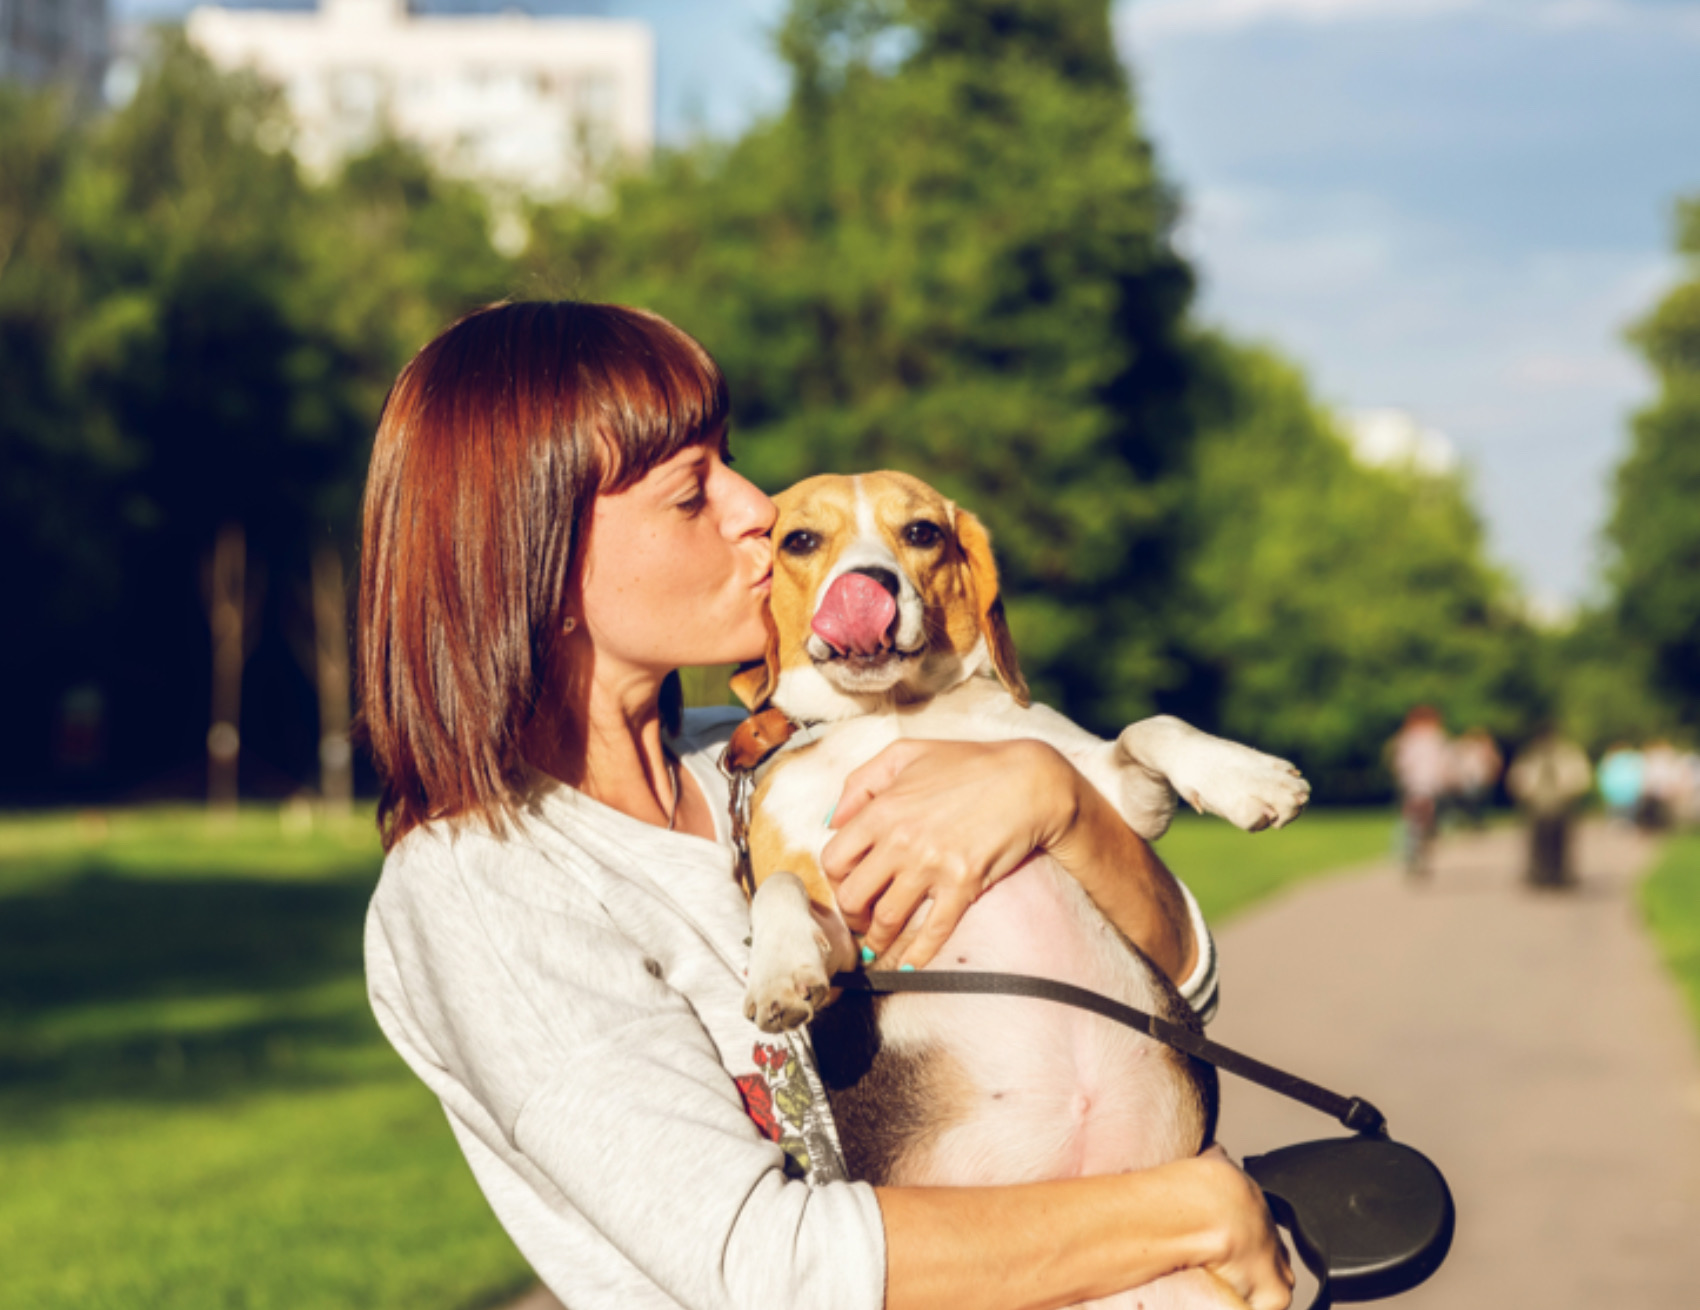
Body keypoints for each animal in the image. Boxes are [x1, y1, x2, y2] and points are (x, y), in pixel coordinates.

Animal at [727, 472, 1298, 1257]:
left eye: (923, 533)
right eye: (801, 540)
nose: (869, 586)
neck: (891, 713)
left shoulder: (1114, 795)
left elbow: (1149, 728)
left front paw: (1247, 777)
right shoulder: (850, 945)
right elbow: (779, 887)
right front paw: (780, 970)